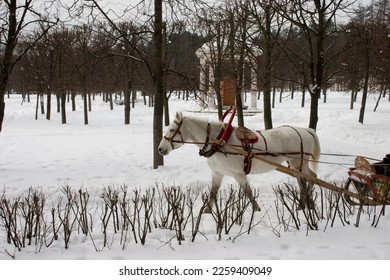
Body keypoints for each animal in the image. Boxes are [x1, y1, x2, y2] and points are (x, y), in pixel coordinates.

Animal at [158, 112, 320, 211]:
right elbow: (212, 193)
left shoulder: (238, 174)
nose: (160, 149)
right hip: (298, 165)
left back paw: (303, 205)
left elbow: (248, 192)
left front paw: (256, 209)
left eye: (171, 130)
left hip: (298, 164)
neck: (219, 143)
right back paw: (308, 204)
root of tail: (306, 130)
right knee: (310, 179)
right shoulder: (217, 173)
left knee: (305, 181)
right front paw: (207, 211)